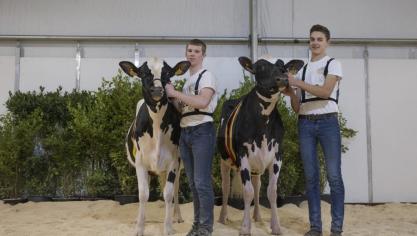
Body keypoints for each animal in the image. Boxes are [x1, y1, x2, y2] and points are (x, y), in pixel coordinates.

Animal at [118, 57, 190, 236]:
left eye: (167, 74)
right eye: (143, 73)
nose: (157, 89)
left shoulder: (173, 163)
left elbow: (169, 193)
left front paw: (168, 228)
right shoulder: (141, 163)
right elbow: (144, 194)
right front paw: (139, 227)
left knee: (174, 189)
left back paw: (177, 217)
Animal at [214, 56, 302, 235]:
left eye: (283, 68)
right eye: (260, 67)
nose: (283, 79)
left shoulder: (277, 156)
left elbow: (271, 192)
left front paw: (276, 227)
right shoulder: (243, 155)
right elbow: (247, 192)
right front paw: (245, 228)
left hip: (257, 165)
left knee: (257, 185)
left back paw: (258, 217)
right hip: (224, 160)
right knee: (226, 188)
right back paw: (222, 218)